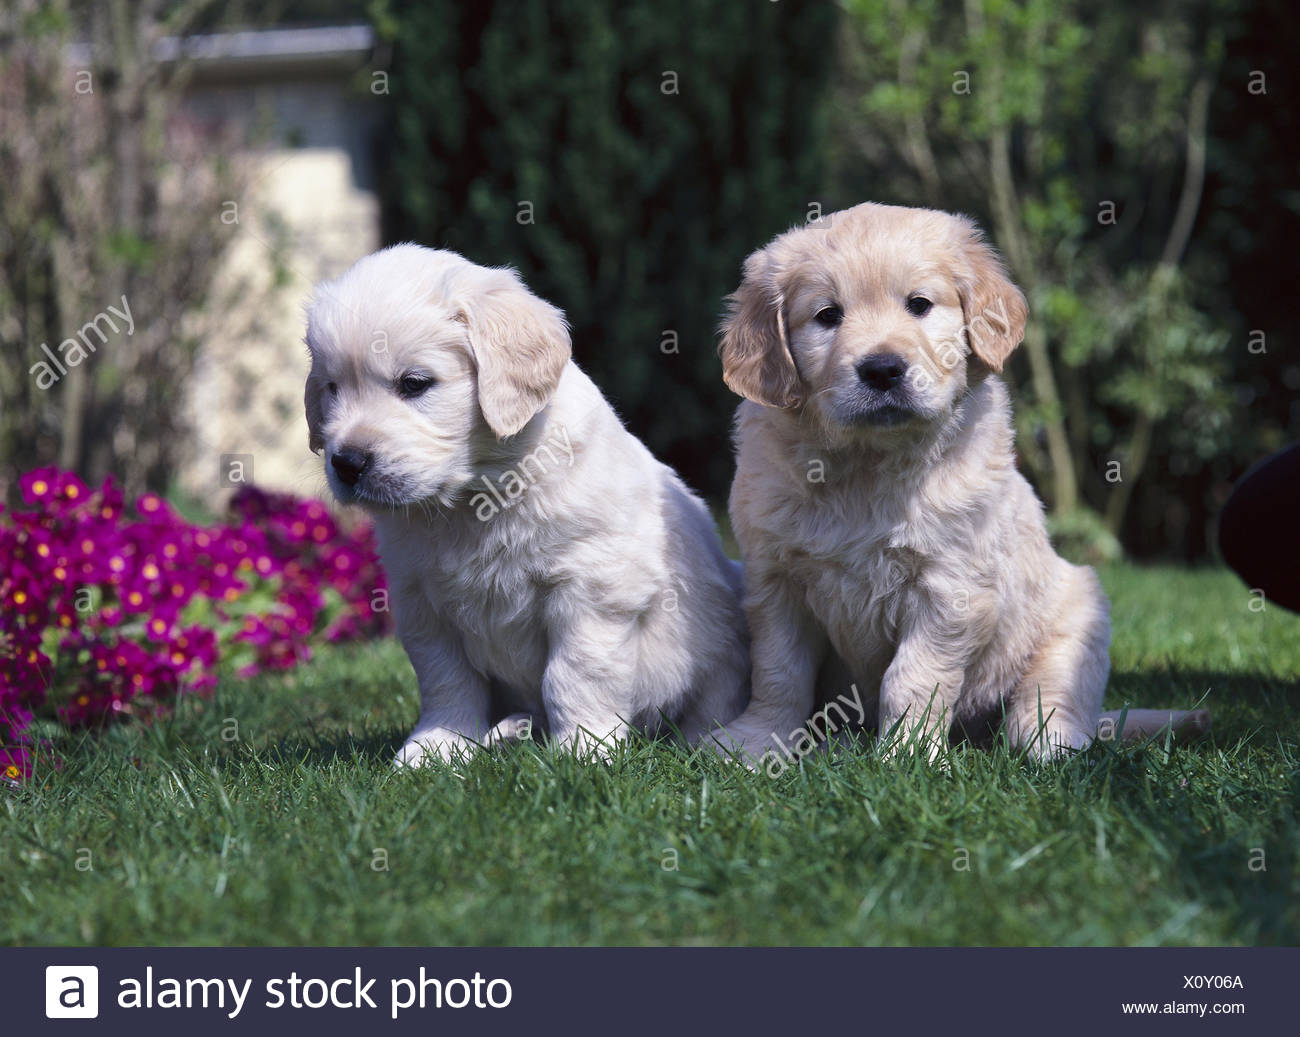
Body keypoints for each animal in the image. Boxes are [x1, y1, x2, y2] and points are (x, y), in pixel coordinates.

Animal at [304, 244, 748, 764]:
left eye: (414, 383)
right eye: (332, 388)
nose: (347, 462)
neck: (473, 497)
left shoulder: (592, 586)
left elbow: (573, 673)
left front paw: (582, 749)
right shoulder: (421, 599)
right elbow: (446, 679)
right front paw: (435, 748)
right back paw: (510, 731)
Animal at [707, 205, 1201, 769]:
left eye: (919, 305)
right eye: (827, 315)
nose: (882, 369)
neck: (868, 465)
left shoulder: (951, 586)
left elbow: (913, 677)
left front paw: (909, 756)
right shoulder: (775, 581)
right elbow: (779, 671)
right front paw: (756, 741)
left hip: (1079, 612)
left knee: (1051, 699)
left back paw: (1050, 745)